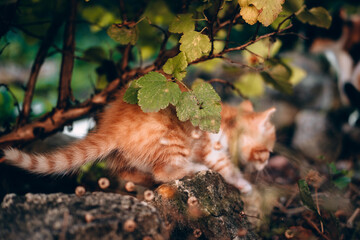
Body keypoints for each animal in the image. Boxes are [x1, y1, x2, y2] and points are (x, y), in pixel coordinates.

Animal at [0, 90, 276, 193]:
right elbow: (226, 167)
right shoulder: (209, 145)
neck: (229, 120)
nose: (266, 166)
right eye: (267, 153)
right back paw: (192, 169)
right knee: (163, 172)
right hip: (172, 140)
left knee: (129, 174)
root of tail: (113, 126)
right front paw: (245, 185)